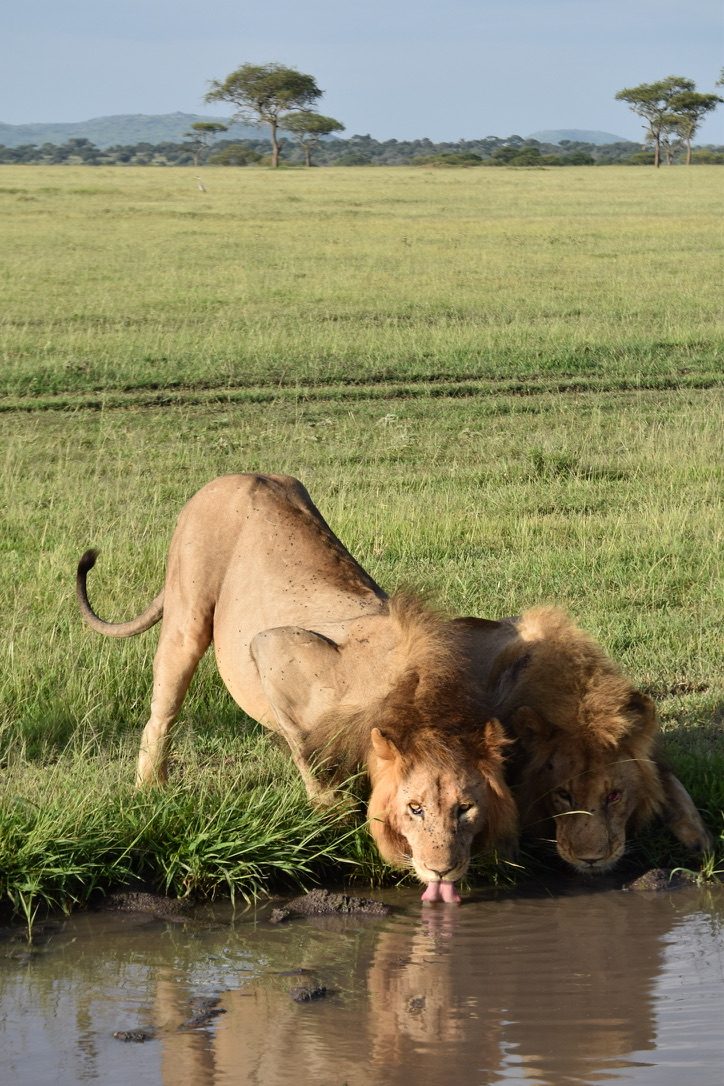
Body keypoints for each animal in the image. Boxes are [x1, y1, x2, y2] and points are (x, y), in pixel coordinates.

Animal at [76, 473, 516, 900]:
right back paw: (151, 788)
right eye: (415, 808)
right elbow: (311, 759)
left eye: (464, 808)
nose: (442, 869)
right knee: (162, 712)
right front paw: (333, 826)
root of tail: (233, 475)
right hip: (187, 615)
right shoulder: (275, 650)